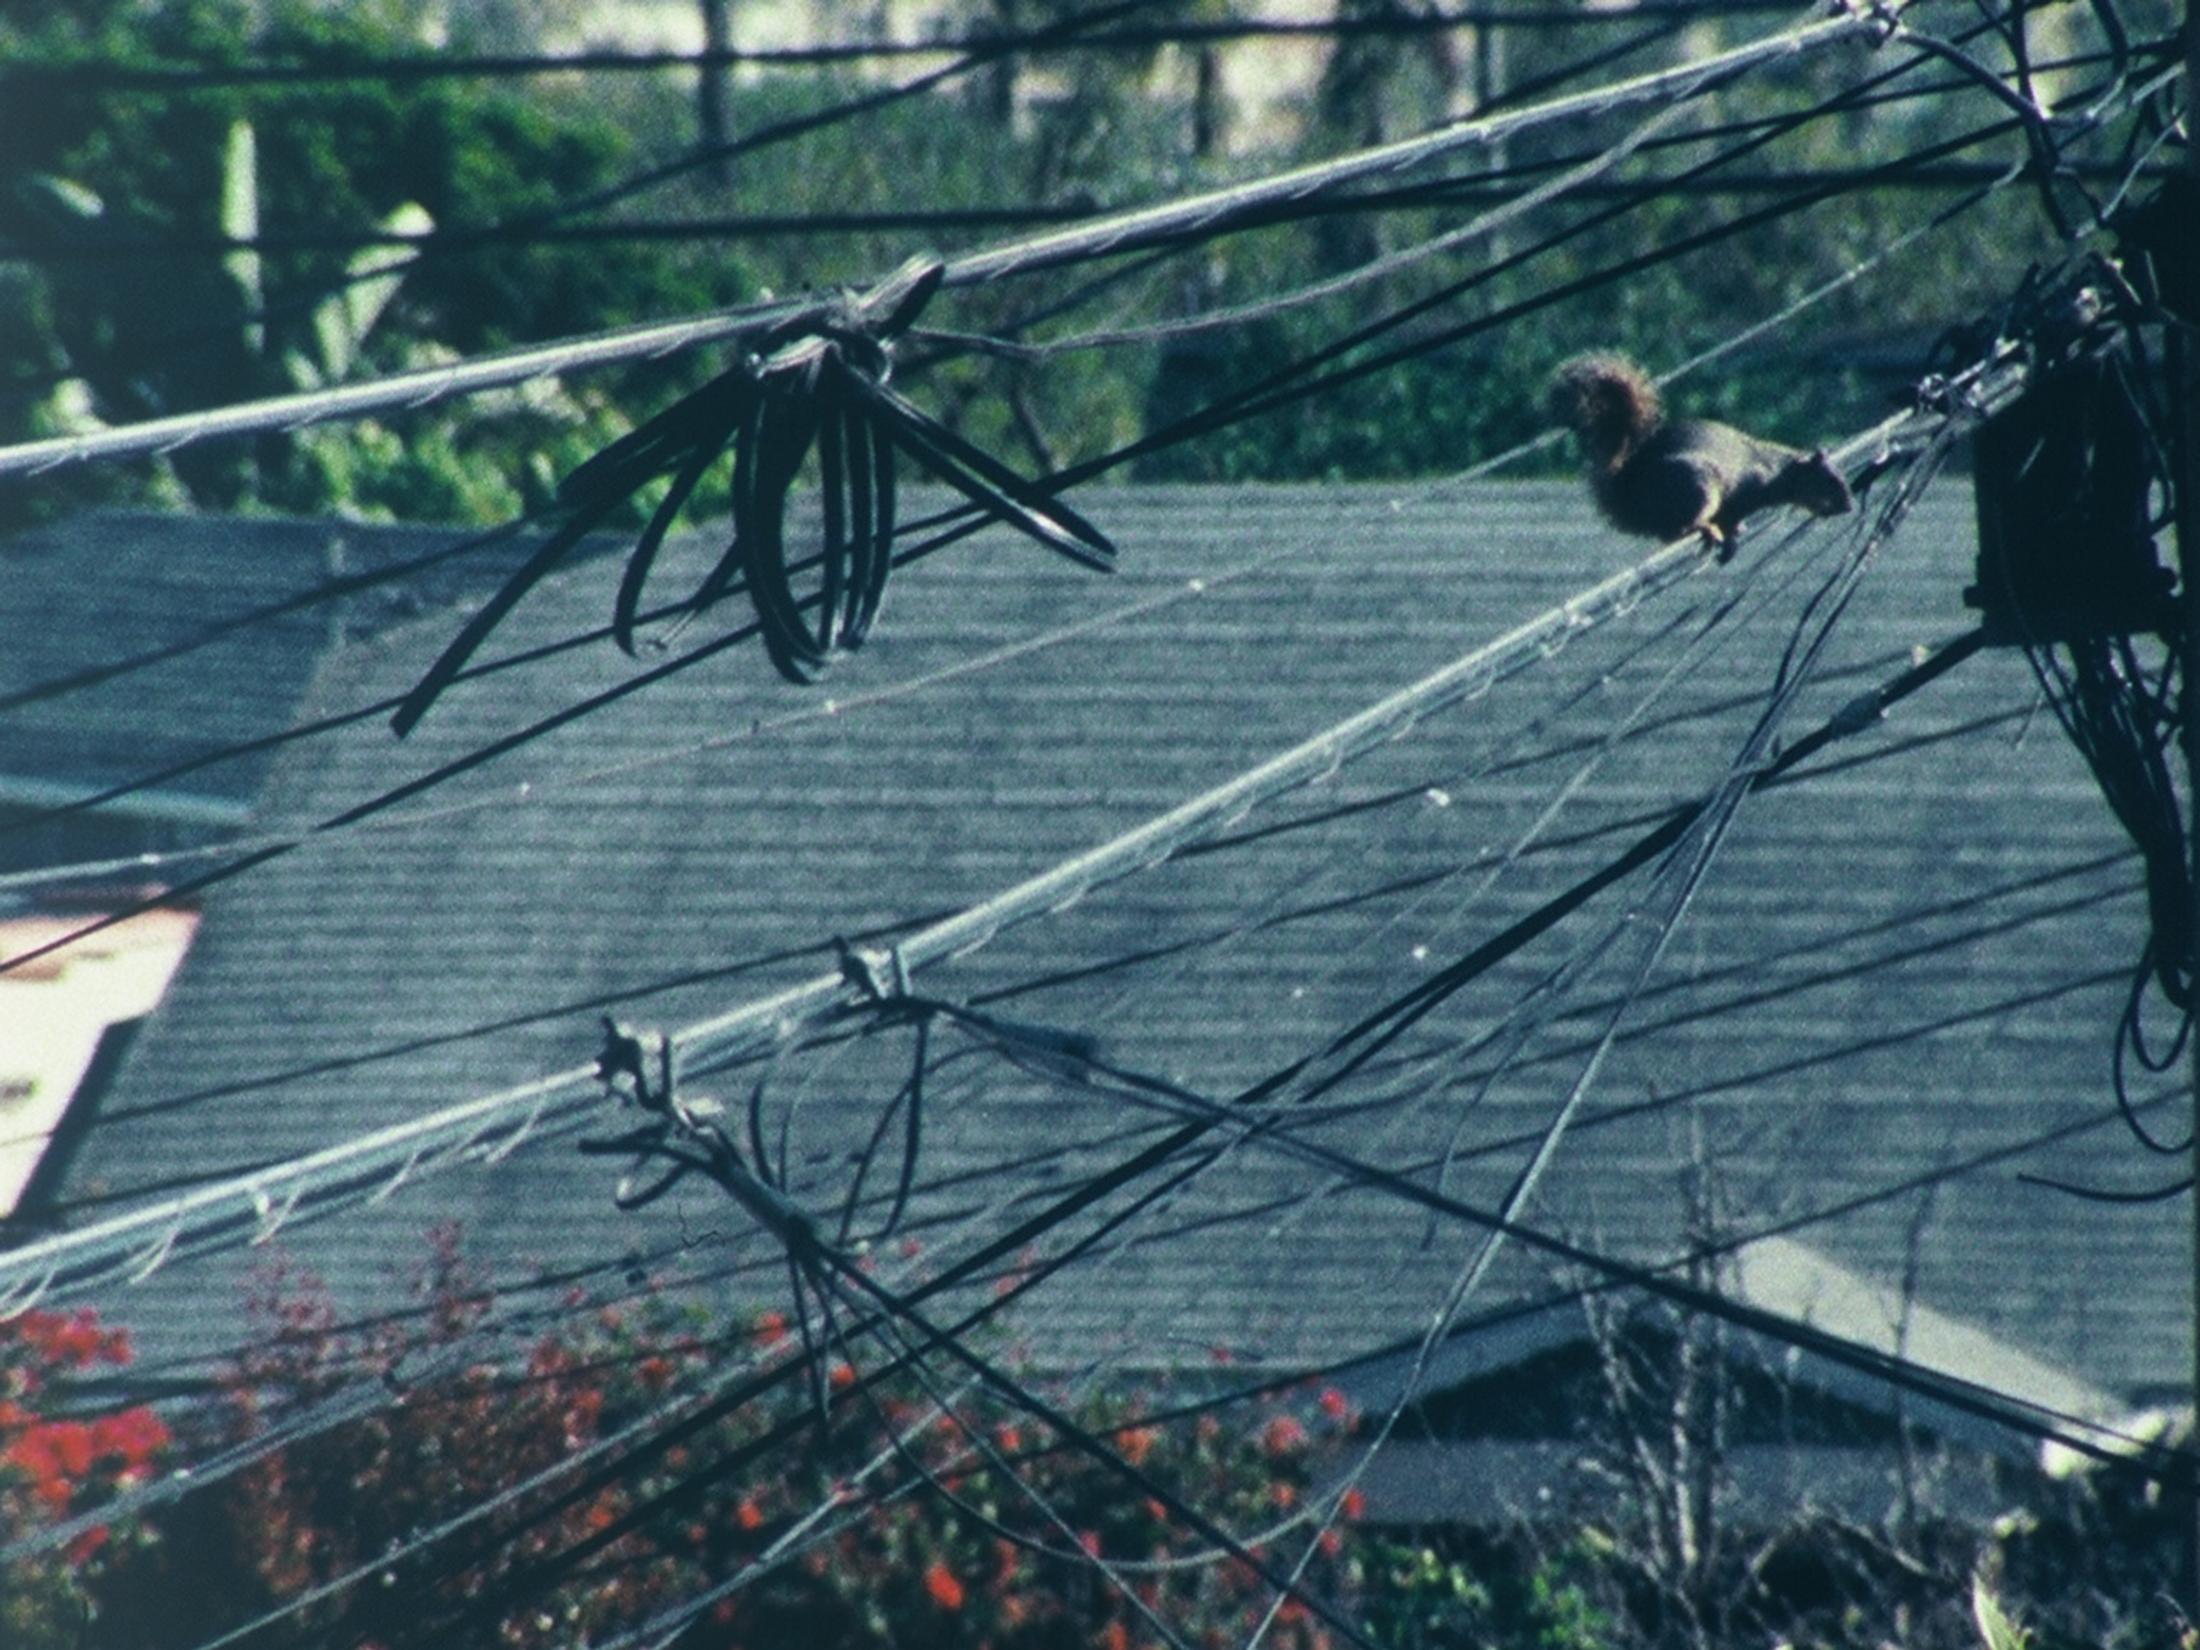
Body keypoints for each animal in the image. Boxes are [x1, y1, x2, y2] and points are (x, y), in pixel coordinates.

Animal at [1547, 353, 1854, 560]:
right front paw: (1730, 534)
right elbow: (1731, 515)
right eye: (1829, 480)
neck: (1779, 469)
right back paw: (1705, 528)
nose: (1848, 506)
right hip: (1697, 485)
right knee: (1677, 528)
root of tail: (1630, 500)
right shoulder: (1748, 490)